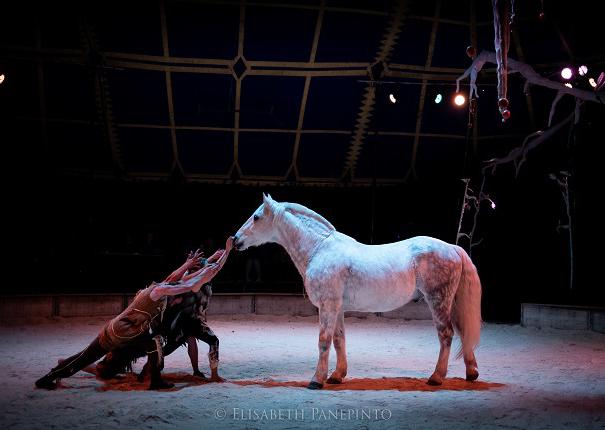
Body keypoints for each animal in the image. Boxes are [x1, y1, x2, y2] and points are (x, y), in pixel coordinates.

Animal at [232, 193, 482, 388]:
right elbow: (338, 339)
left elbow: (324, 340)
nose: (235, 240)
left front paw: (316, 380)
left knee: (446, 334)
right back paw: (471, 373)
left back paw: (436, 377)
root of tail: (453, 248)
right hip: (451, 302)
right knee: (462, 332)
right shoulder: (338, 308)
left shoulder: (327, 306)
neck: (319, 249)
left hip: (438, 301)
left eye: (256, 217)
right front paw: (336, 376)